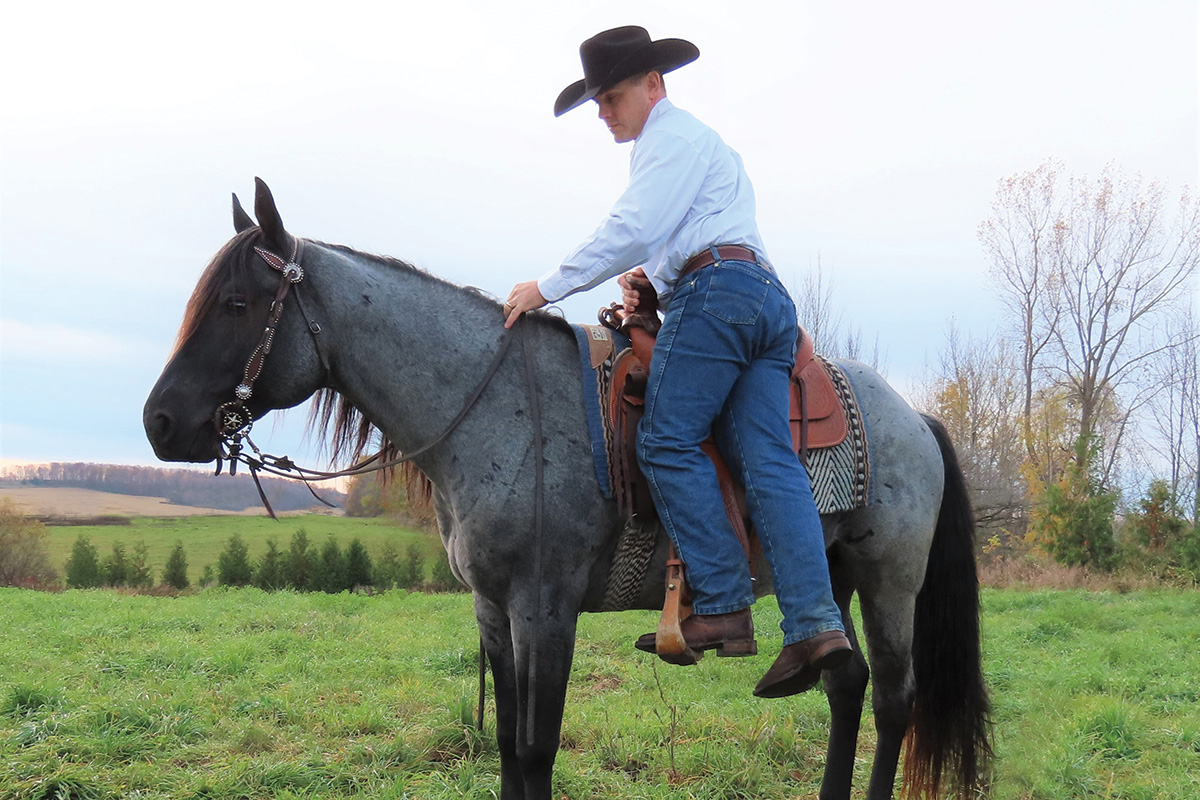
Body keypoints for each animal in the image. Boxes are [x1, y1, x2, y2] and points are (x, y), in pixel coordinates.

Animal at [145, 181, 993, 800]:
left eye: (237, 304)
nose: (159, 422)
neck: (492, 407)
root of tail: (914, 416)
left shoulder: (545, 608)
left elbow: (536, 747)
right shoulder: (493, 609)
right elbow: (508, 748)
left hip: (889, 580)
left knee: (892, 701)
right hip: (826, 572)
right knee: (844, 682)